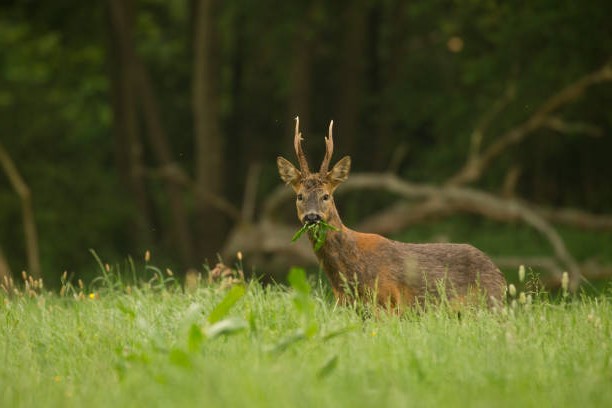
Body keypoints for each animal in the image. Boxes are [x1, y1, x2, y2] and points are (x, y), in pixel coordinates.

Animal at [278, 116, 506, 308]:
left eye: (326, 196)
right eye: (300, 196)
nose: (312, 217)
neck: (348, 274)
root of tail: (500, 276)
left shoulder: (388, 301)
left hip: (490, 304)